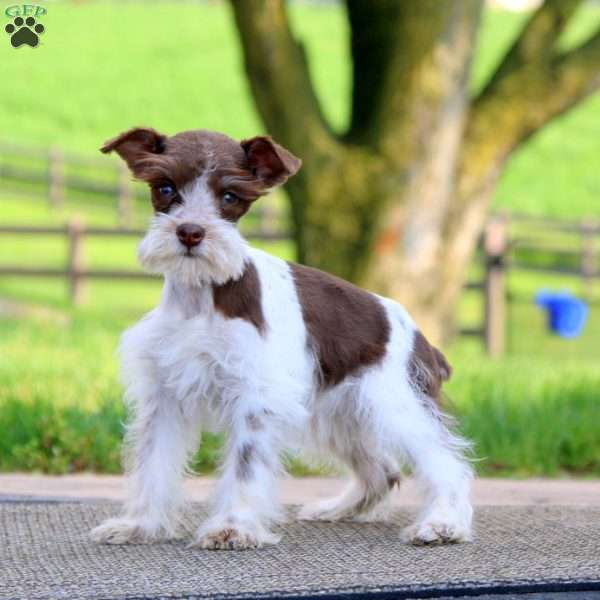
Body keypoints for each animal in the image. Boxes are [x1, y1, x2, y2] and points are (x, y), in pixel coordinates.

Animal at [90, 126, 474, 548]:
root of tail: (425, 342)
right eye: (165, 188)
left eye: (230, 196)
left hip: (395, 406)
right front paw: (140, 524)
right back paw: (337, 508)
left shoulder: (255, 396)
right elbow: (152, 465)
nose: (190, 232)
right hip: (340, 416)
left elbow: (245, 466)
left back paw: (442, 524)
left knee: (446, 463)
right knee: (383, 470)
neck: (203, 297)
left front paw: (233, 526)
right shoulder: (165, 394)